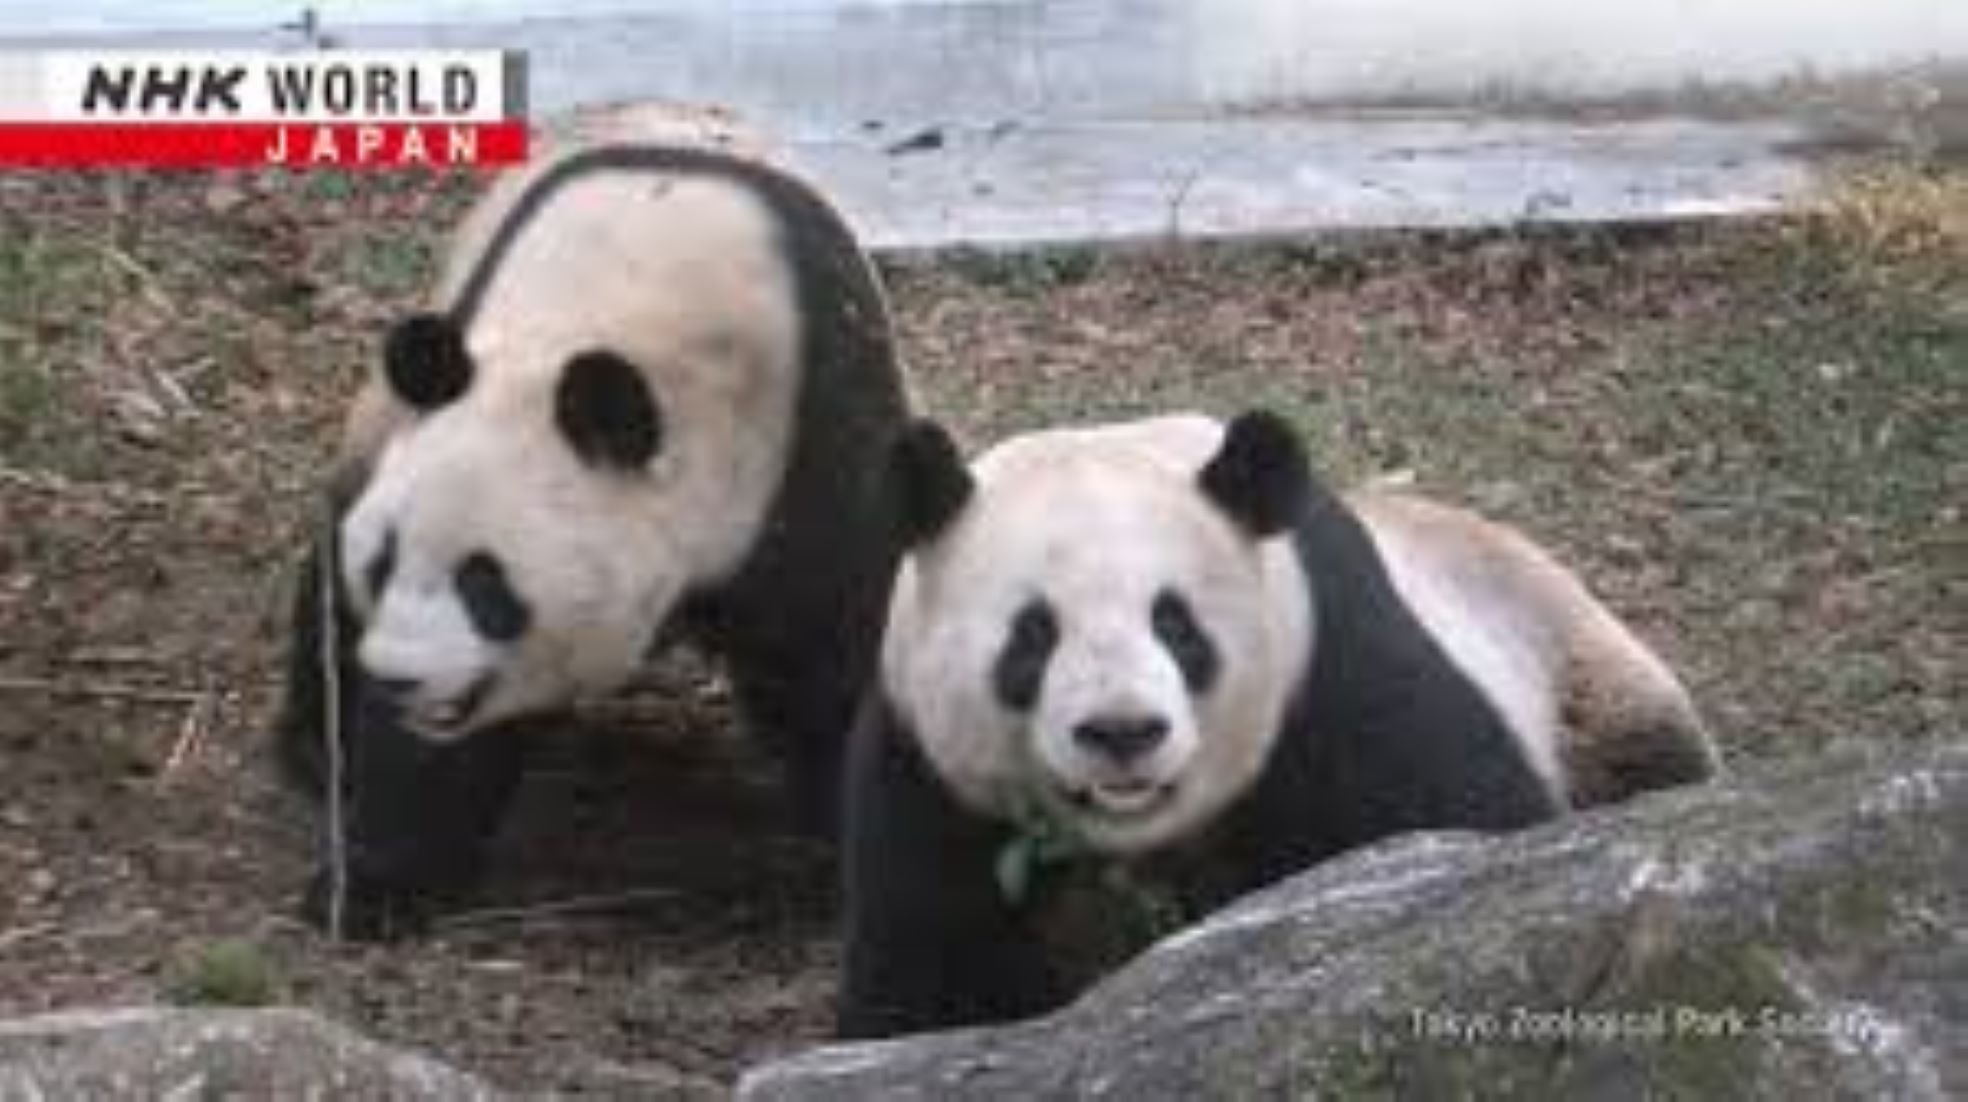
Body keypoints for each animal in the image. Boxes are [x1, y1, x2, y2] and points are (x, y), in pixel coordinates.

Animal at [273, 135, 909, 936]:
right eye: (385, 562)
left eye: (486, 583)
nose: (396, 677)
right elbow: (429, 754)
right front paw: (375, 887)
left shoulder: (816, 446)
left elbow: (837, 671)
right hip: (399, 396)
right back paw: (317, 747)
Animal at [838, 409, 1716, 1039]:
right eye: (1032, 636)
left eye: (1176, 625)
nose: (1123, 733)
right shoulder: (923, 770)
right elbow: (929, 971)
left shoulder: (1336, 667)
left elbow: (1465, 828)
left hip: (1576, 665)